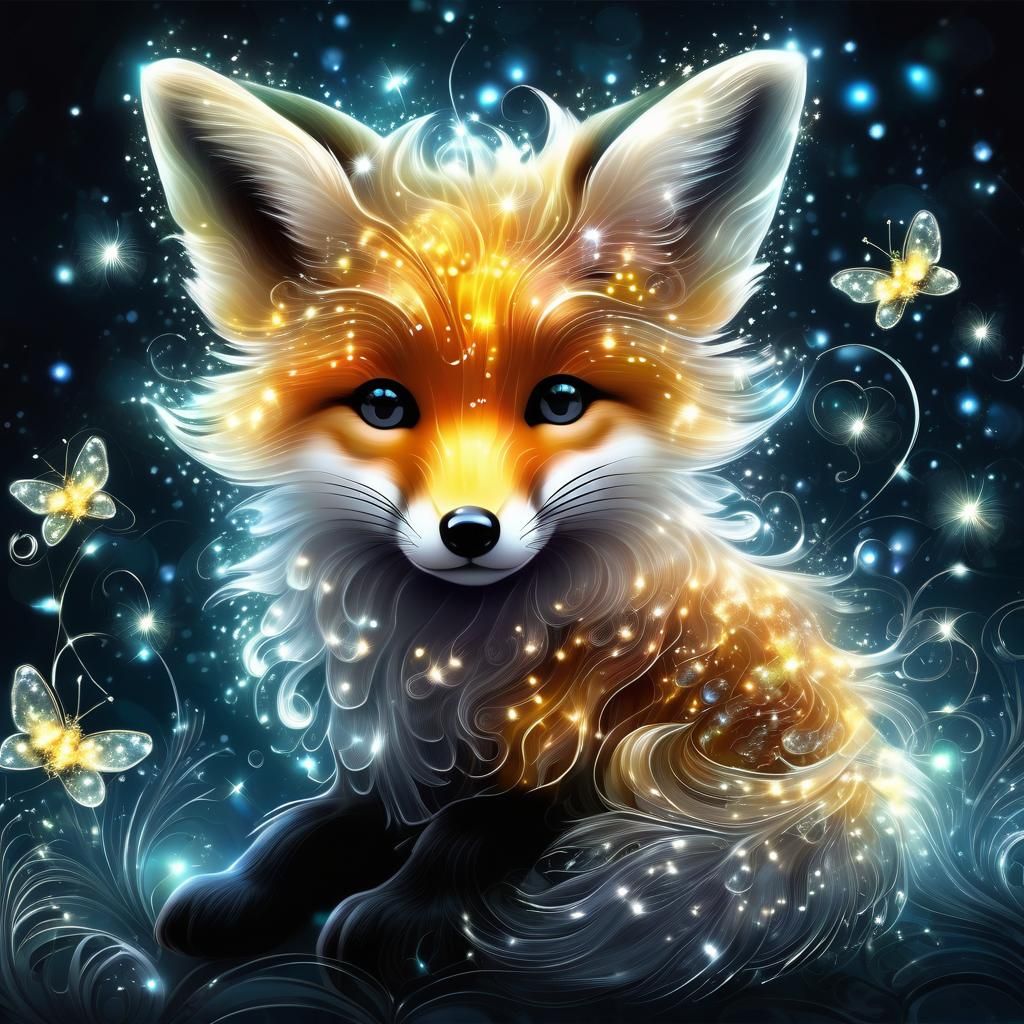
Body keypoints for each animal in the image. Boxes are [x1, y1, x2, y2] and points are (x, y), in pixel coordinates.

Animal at [142, 51, 906, 998]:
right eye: (384, 404)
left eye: (562, 400)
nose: (470, 531)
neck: (459, 654)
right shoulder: (392, 760)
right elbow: (303, 829)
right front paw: (241, 889)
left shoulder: (573, 768)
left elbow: (463, 838)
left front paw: (398, 915)